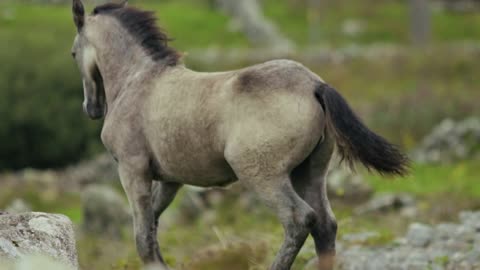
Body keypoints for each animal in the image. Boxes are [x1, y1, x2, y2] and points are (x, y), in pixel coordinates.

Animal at [69, 1, 406, 268]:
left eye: (73, 53)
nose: (91, 108)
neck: (138, 81)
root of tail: (314, 84)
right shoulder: (170, 180)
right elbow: (152, 226)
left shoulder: (132, 169)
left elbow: (143, 239)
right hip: (309, 172)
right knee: (325, 225)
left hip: (262, 175)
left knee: (299, 220)